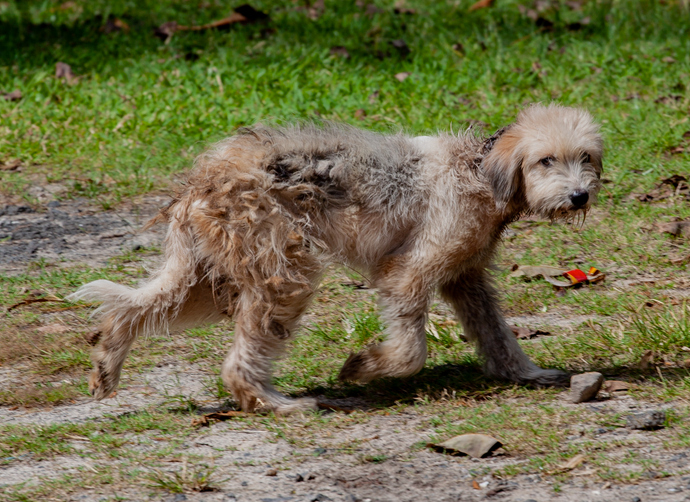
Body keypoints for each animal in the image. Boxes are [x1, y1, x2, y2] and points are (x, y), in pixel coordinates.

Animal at [67, 104, 600, 414]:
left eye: (587, 158)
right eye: (545, 160)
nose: (579, 196)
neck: (480, 169)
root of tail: (200, 182)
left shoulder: (466, 277)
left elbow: (496, 333)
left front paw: (525, 374)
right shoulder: (406, 274)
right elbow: (410, 351)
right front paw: (365, 366)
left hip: (204, 278)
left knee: (129, 309)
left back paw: (107, 363)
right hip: (281, 274)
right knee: (239, 362)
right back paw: (273, 403)